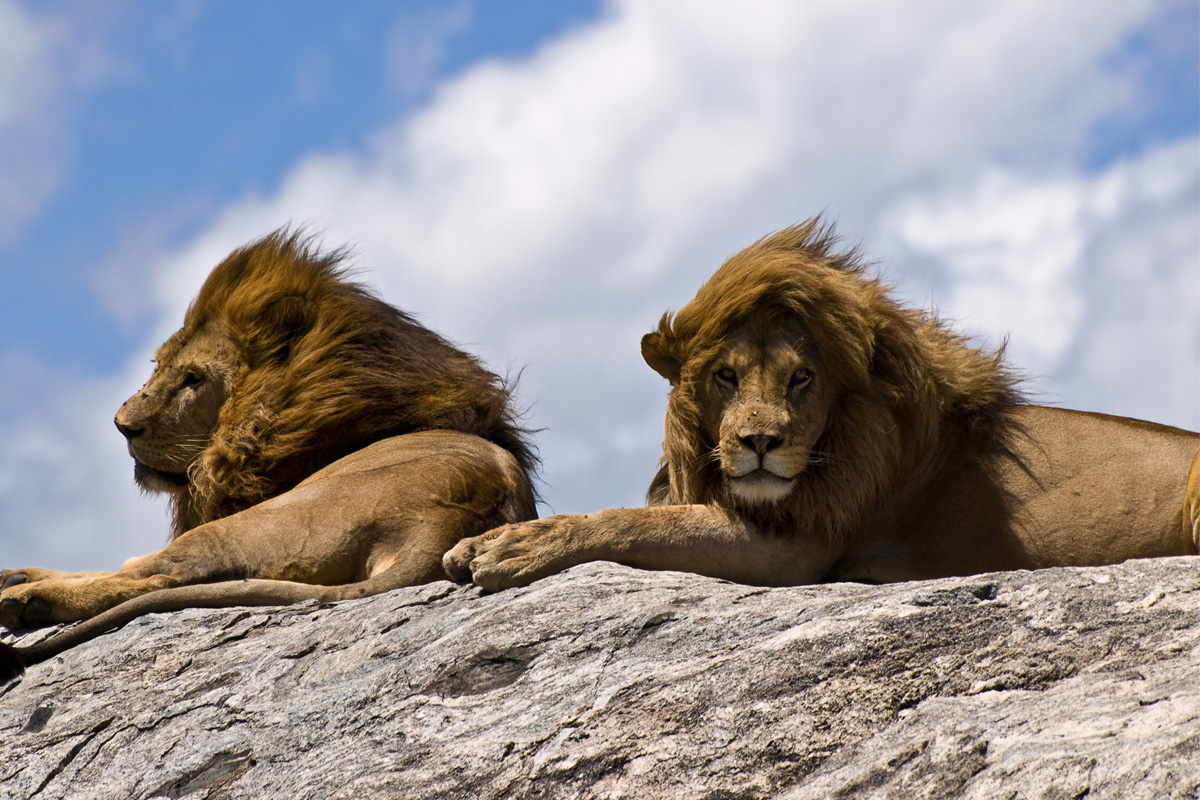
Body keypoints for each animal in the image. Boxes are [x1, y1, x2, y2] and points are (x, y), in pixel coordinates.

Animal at [0, 230, 537, 678]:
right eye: (157, 366)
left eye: (193, 378)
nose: (122, 425)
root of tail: (440, 528)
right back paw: (19, 580)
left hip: (259, 523)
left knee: (157, 575)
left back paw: (27, 598)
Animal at [444, 217, 1200, 590]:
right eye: (725, 376)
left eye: (802, 377)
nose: (759, 443)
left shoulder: (798, 547)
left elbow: (630, 523)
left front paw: (512, 546)